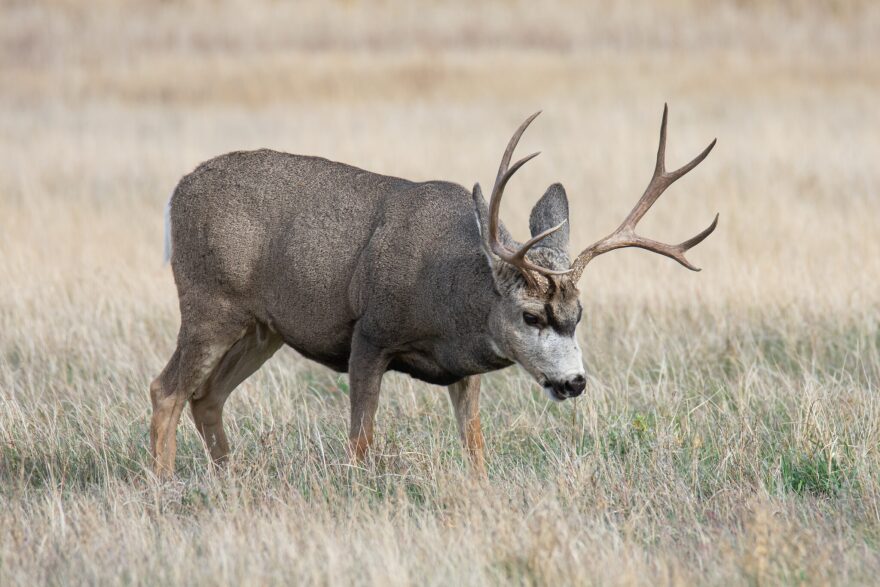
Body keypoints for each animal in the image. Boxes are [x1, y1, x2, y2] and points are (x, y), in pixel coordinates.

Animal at [150, 105, 717, 478]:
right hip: (209, 303)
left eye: (579, 315)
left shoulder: (463, 371)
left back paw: (229, 479)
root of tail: (176, 194)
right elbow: (360, 441)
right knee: (167, 389)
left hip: (261, 327)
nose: (574, 382)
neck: (450, 296)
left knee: (207, 396)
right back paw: (166, 486)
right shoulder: (370, 334)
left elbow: (475, 446)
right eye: (531, 315)